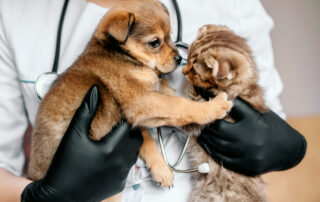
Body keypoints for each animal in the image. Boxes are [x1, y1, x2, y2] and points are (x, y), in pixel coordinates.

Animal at [27, 0, 232, 201]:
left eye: (171, 36)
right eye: (155, 42)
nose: (179, 57)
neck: (122, 55)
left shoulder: (141, 111)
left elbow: (151, 133)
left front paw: (160, 169)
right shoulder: (141, 102)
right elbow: (180, 106)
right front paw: (214, 106)